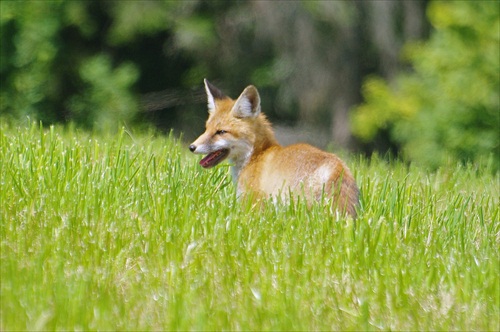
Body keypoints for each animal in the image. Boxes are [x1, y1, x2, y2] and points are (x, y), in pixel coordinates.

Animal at [188, 79, 360, 217]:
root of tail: (337, 168)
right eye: (206, 129)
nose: (192, 147)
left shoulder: (253, 203)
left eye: (221, 132)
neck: (256, 155)